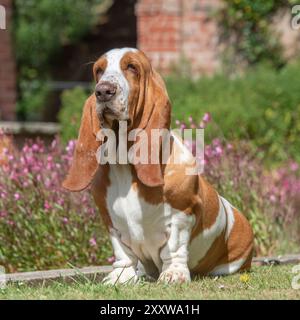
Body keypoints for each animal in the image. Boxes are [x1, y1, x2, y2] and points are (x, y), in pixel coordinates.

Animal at [62, 47, 253, 282]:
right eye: (99, 70)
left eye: (132, 67)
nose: (103, 91)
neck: (125, 163)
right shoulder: (111, 223)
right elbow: (123, 253)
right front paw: (121, 277)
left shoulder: (181, 216)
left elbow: (173, 249)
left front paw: (173, 274)